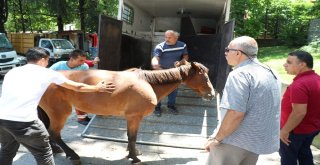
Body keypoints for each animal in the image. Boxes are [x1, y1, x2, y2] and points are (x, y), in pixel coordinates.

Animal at [38, 62, 215, 164]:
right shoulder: (134, 117)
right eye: (205, 78)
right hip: (60, 112)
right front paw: (135, 157)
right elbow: (133, 137)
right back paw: (72, 154)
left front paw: (132, 153)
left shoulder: (131, 118)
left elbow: (131, 137)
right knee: (54, 133)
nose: (211, 95)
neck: (147, 82)